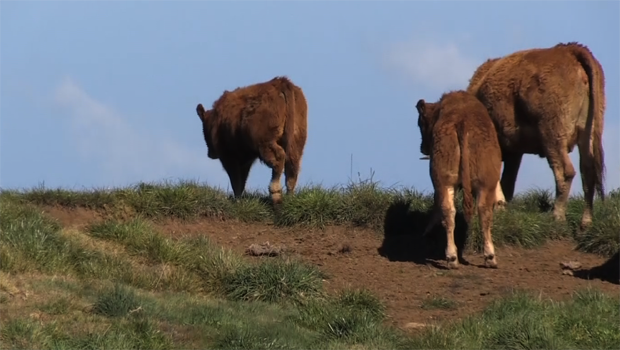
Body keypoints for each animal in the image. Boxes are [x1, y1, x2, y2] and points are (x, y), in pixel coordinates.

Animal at [195, 75, 308, 204]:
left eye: (204, 129)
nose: (211, 154)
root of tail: (281, 82)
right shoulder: (245, 158)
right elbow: (242, 179)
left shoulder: (229, 157)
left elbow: (236, 180)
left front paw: (237, 200)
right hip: (296, 142)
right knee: (292, 166)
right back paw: (289, 197)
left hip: (265, 143)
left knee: (279, 158)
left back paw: (275, 193)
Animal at [416, 91, 504, 270]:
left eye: (420, 123)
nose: (423, 148)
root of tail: (462, 121)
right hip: (483, 184)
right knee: (483, 212)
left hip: (447, 182)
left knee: (450, 211)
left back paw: (453, 258)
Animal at [464, 41, 604, 230]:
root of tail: (569, 50)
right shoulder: (514, 152)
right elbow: (507, 180)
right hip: (587, 134)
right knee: (588, 172)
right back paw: (586, 223)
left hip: (552, 136)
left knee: (565, 171)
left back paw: (557, 216)